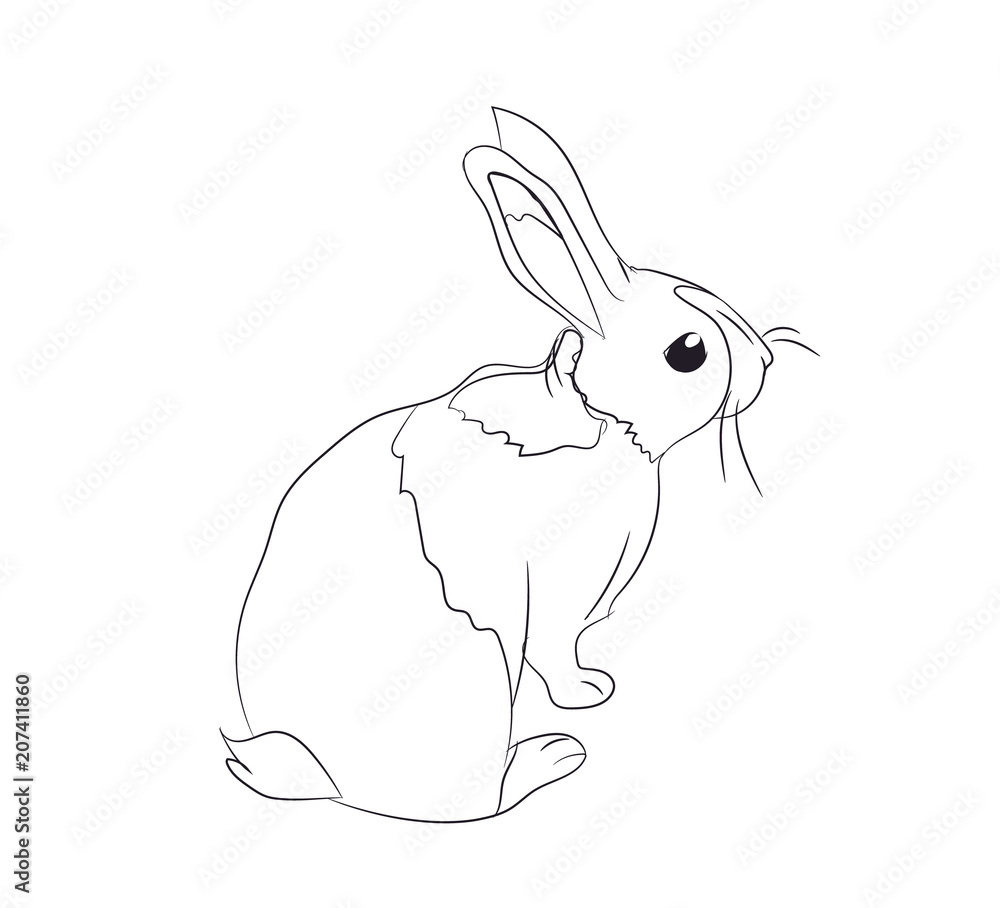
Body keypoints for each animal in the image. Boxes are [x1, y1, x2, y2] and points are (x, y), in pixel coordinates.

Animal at [223, 108, 805, 822]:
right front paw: (590, 693)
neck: (595, 416)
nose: (765, 364)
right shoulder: (559, 592)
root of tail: (327, 778)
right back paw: (550, 758)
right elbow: (557, 650)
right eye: (688, 351)